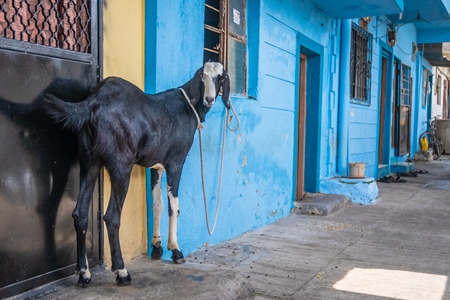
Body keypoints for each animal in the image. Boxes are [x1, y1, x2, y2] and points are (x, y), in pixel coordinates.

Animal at [45, 61, 230, 286]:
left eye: (221, 77)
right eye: (202, 75)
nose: (210, 99)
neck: (188, 106)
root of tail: (94, 102)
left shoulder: (156, 166)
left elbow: (157, 205)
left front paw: (157, 247)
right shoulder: (175, 162)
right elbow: (174, 207)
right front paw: (176, 251)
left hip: (88, 161)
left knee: (80, 213)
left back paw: (84, 274)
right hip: (121, 165)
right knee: (111, 217)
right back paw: (122, 272)